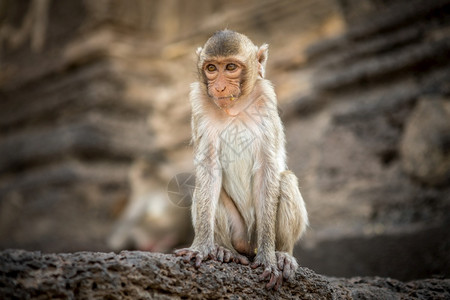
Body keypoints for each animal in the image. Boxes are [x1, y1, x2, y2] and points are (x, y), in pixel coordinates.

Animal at [174, 29, 308, 290]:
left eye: (231, 67)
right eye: (211, 68)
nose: (219, 87)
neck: (233, 109)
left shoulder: (266, 100)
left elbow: (267, 170)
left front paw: (268, 259)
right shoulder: (198, 102)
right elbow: (209, 169)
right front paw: (201, 246)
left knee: (286, 180)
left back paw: (282, 254)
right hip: (240, 232)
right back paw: (225, 250)